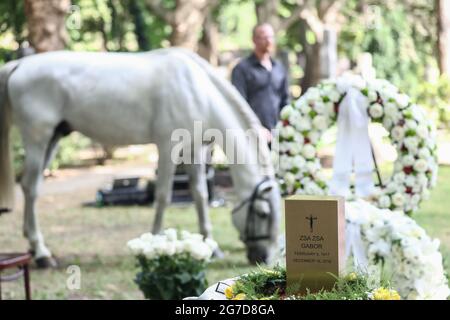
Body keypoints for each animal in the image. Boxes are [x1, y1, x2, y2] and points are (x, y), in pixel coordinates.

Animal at [0, 47, 282, 268]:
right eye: (262, 214)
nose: (263, 258)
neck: (196, 90)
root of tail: (20, 64)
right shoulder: (169, 147)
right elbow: (163, 196)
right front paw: (154, 244)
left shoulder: (195, 151)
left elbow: (200, 196)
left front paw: (211, 247)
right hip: (38, 139)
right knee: (31, 187)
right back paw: (41, 254)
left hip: (53, 138)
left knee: (30, 187)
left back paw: (33, 246)